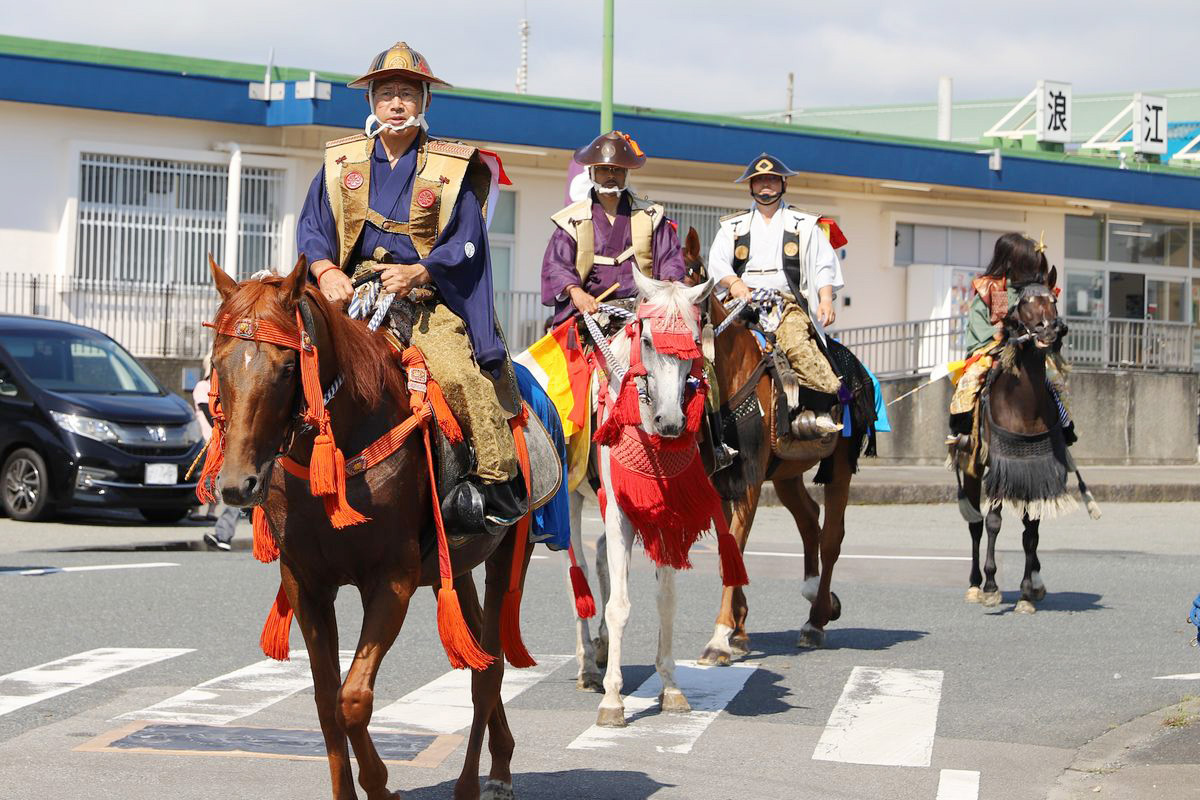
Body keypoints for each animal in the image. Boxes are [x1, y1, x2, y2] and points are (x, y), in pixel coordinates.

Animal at [206, 257, 530, 800]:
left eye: (287, 368)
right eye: (218, 364)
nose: (236, 484)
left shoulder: (391, 579)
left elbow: (352, 700)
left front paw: (381, 787)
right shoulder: (306, 582)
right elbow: (325, 701)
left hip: (508, 550)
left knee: (488, 672)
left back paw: (475, 782)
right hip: (455, 564)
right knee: (481, 657)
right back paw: (502, 760)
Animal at [676, 230, 864, 657]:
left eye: (690, 282)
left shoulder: (747, 479)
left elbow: (735, 544)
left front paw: (720, 636)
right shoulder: (718, 480)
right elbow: (728, 550)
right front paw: (738, 629)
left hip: (840, 464)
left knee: (831, 537)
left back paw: (816, 619)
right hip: (785, 473)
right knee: (809, 520)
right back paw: (816, 598)